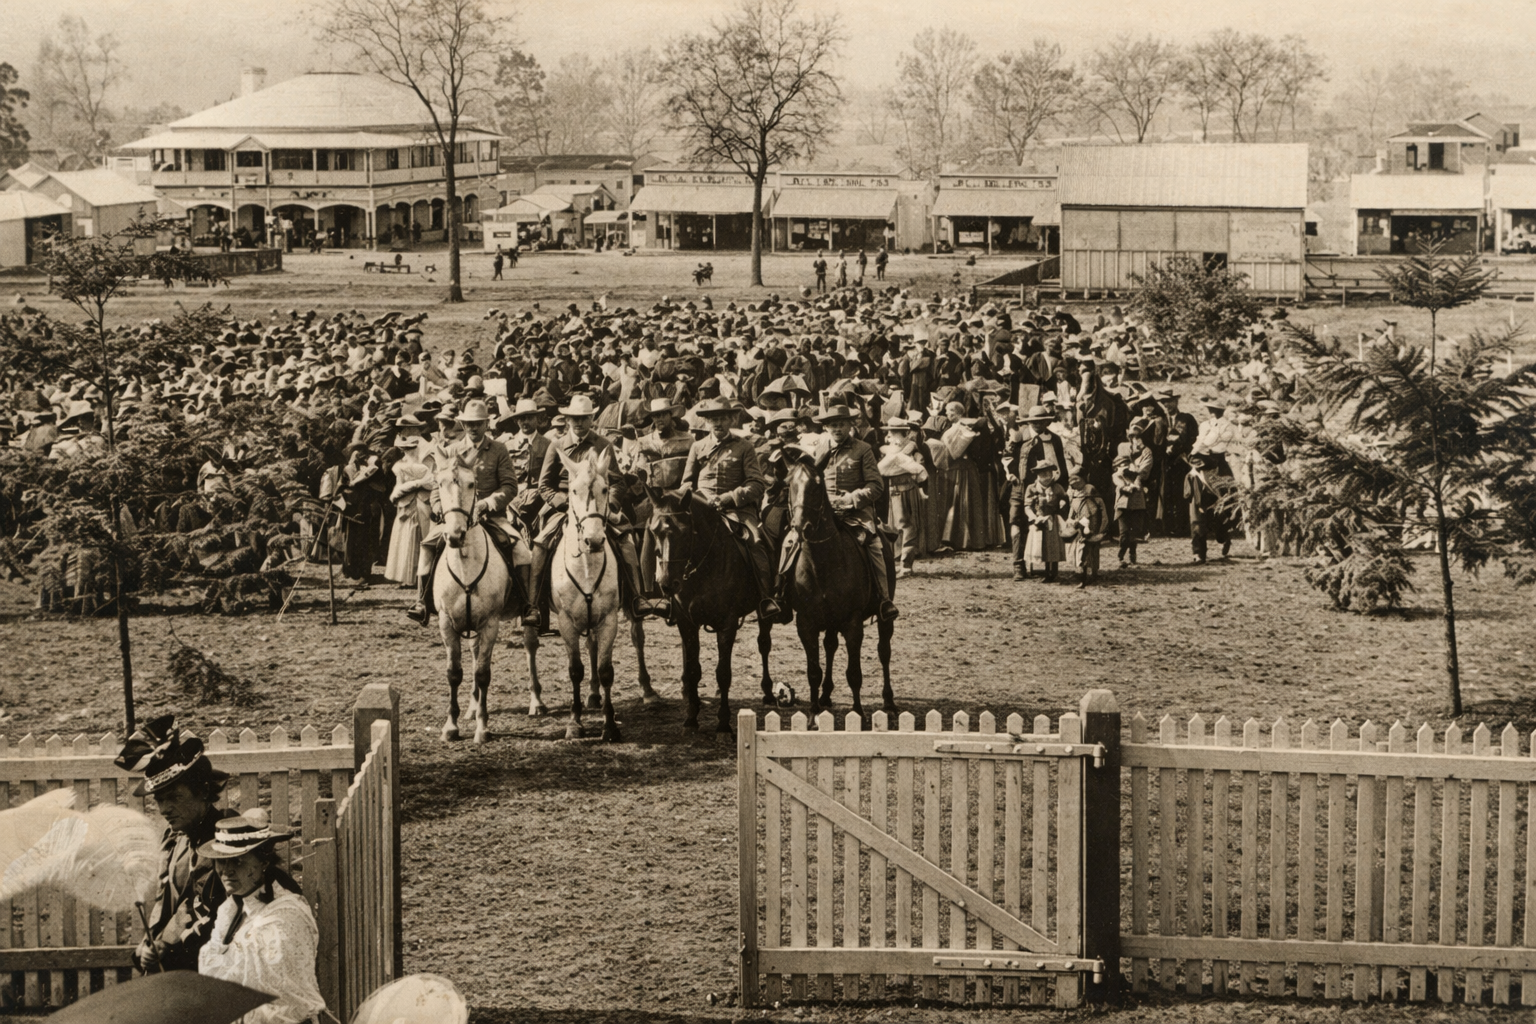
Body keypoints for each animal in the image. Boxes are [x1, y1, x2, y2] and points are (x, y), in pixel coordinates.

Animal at [433, 449, 512, 745]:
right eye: (440, 483)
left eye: (471, 484)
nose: (454, 535)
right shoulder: (446, 623)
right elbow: (454, 673)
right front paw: (451, 726)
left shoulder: (490, 623)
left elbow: (482, 673)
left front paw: (483, 727)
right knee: (474, 654)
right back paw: (472, 706)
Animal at [549, 449, 629, 742]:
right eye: (573, 490)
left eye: (605, 488)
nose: (593, 541)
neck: (585, 566)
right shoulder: (566, 623)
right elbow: (575, 670)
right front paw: (574, 723)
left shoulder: (608, 620)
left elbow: (605, 670)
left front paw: (610, 724)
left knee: (593, 647)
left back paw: (595, 696)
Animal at [645, 486, 792, 737]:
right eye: (654, 531)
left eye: (685, 531)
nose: (666, 584)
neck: (703, 568)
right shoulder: (687, 624)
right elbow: (693, 670)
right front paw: (691, 719)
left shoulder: (727, 625)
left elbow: (723, 673)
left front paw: (723, 724)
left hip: (764, 612)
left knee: (764, 645)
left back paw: (768, 692)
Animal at [780, 448, 897, 718]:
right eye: (789, 484)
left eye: (817, 485)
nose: (801, 527)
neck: (822, 564)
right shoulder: (806, 623)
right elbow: (814, 671)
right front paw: (813, 715)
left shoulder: (853, 624)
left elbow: (854, 673)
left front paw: (859, 714)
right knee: (831, 646)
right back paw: (825, 695)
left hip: (884, 616)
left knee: (884, 651)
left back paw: (889, 700)